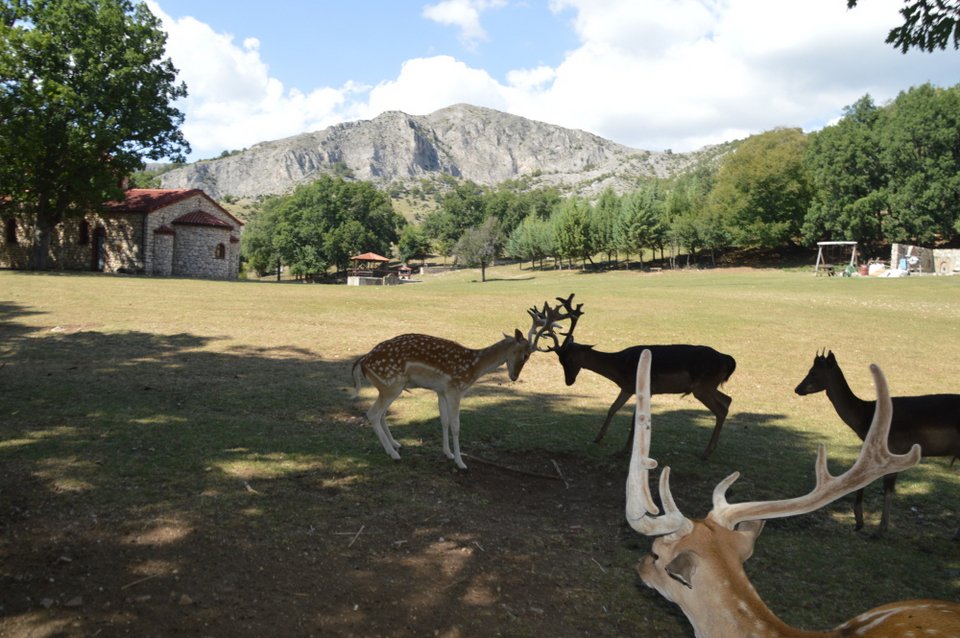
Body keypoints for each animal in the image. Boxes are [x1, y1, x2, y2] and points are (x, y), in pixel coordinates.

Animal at [350, 312, 556, 472]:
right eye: (526, 355)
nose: (514, 377)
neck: (473, 368)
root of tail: (363, 362)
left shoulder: (442, 391)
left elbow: (444, 421)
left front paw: (447, 453)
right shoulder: (456, 389)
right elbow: (456, 425)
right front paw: (461, 462)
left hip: (390, 388)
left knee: (381, 413)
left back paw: (395, 444)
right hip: (391, 385)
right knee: (373, 413)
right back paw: (393, 454)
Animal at [532, 296, 736, 460]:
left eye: (568, 358)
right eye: (560, 360)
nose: (569, 381)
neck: (619, 367)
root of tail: (728, 360)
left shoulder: (642, 388)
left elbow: (634, 417)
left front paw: (623, 451)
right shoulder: (626, 387)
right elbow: (612, 408)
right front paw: (598, 438)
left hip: (702, 386)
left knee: (721, 409)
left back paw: (705, 453)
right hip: (708, 386)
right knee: (728, 400)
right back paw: (710, 449)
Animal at [796, 350, 960, 540]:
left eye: (813, 372)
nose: (797, 389)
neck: (865, 418)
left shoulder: (892, 449)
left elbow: (885, 487)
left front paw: (876, 529)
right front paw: (861, 523)